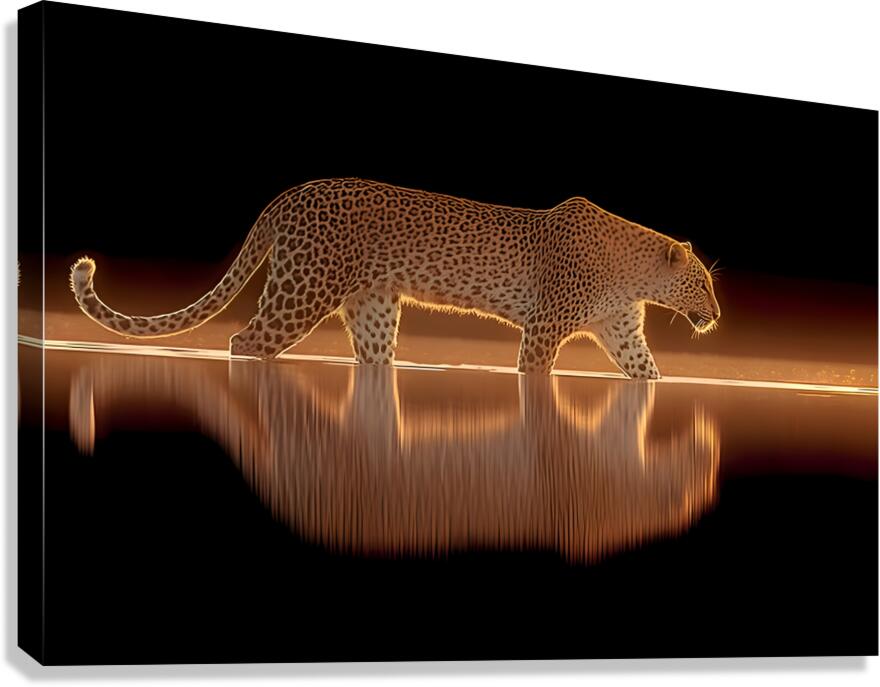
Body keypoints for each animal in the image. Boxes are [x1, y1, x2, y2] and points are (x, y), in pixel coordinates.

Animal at [70, 178, 721, 378]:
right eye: (703, 285)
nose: (716, 315)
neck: (634, 275)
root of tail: (290, 193)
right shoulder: (543, 328)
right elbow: (534, 374)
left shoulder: (621, 332)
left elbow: (648, 372)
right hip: (301, 291)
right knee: (243, 340)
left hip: (374, 308)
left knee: (373, 359)